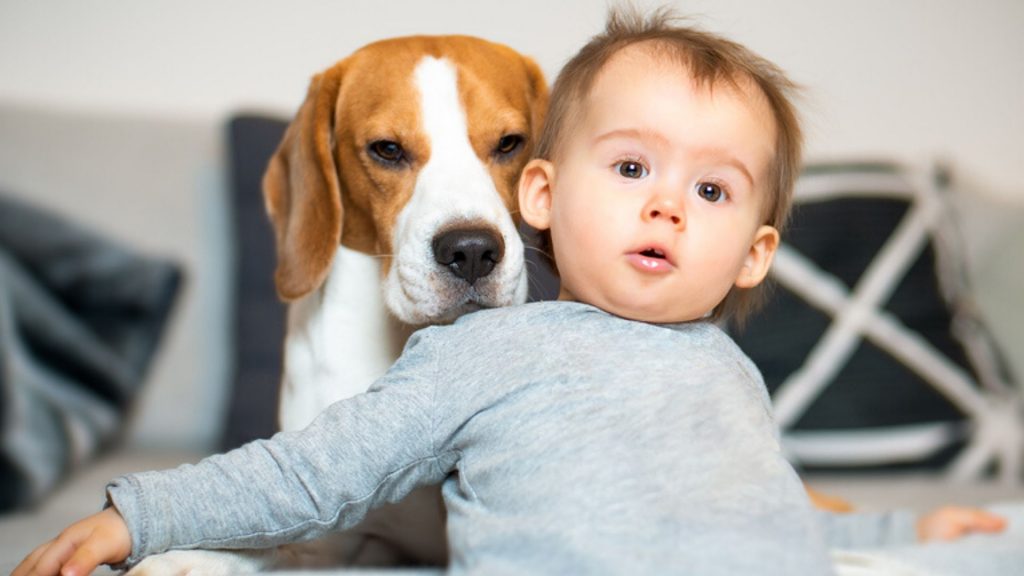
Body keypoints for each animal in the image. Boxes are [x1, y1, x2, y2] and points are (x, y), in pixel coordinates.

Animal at [128, 34, 548, 569]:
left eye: (510, 142)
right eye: (387, 149)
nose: (472, 250)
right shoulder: (345, 536)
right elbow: (260, 539)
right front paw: (179, 558)